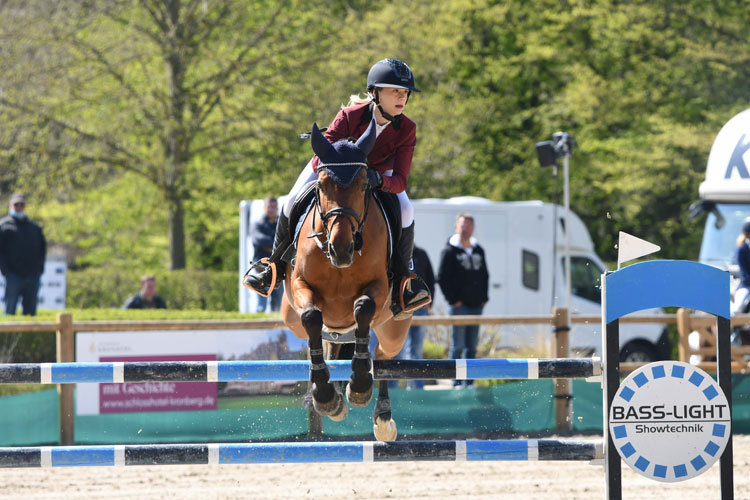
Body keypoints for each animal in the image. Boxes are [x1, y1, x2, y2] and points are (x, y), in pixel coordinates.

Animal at [280, 119, 414, 440]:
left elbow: (363, 308)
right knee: (319, 337)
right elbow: (312, 317)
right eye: (320, 185)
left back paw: (383, 418)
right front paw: (326, 396)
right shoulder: (301, 286)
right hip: (291, 318)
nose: (340, 249)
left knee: (384, 355)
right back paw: (332, 398)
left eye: (365, 185)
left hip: (394, 327)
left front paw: (360, 387)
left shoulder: (379, 289)